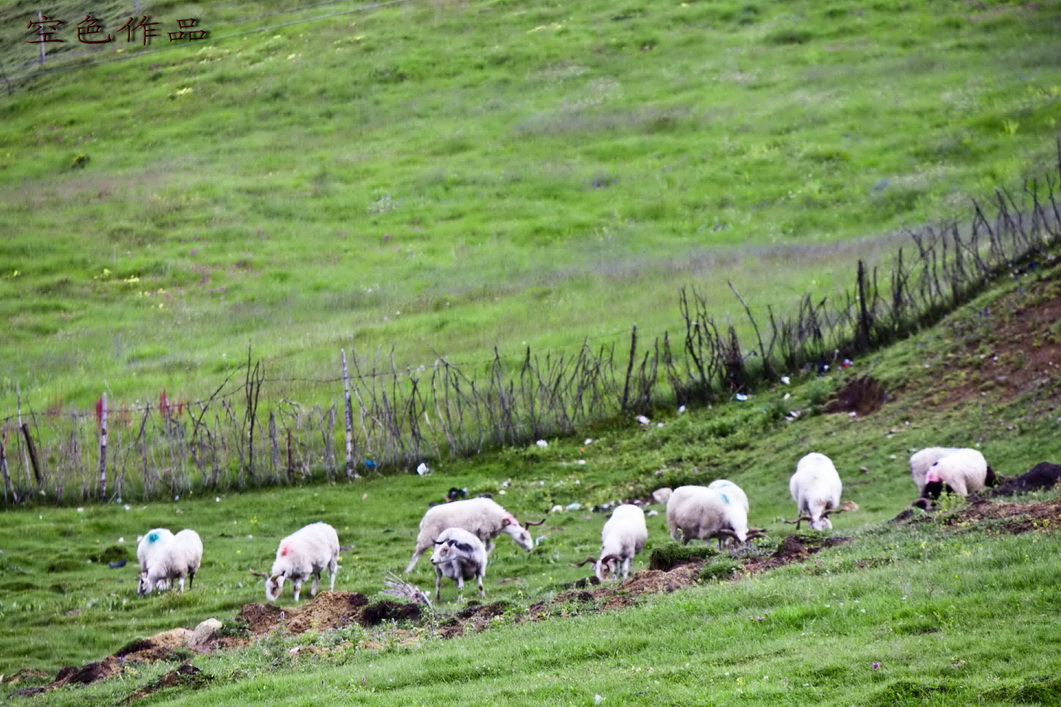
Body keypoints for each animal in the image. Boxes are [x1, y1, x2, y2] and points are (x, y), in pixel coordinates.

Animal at [401, 494, 543, 573]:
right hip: (427, 536)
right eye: (523, 536)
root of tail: (424, 519)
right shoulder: (483, 531)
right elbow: (485, 548)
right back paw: (407, 571)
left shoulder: (486, 533)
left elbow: (491, 547)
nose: (530, 549)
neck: (499, 518)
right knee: (417, 554)